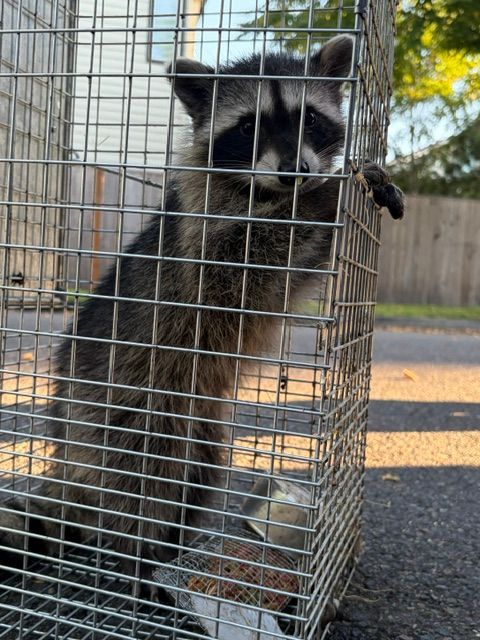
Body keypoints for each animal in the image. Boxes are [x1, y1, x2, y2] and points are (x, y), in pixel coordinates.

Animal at [0, 35, 403, 582]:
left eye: (311, 118)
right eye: (249, 126)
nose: (296, 173)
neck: (263, 190)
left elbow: (287, 279)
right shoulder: (201, 230)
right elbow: (235, 269)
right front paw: (326, 194)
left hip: (203, 421)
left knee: (200, 472)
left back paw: (175, 547)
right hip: (122, 407)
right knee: (140, 480)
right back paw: (135, 558)